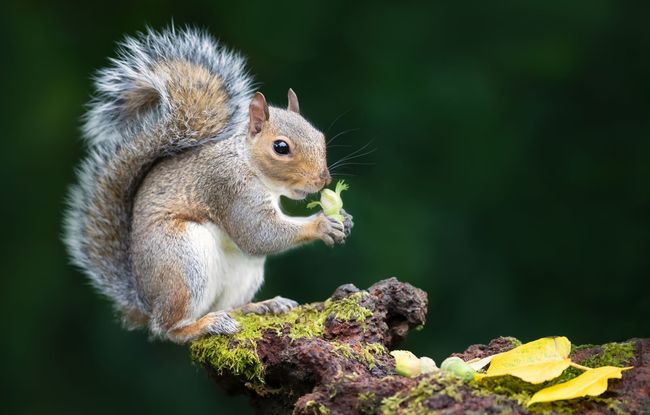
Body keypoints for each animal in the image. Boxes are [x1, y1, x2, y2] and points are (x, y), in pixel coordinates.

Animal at [63, 27, 353, 343]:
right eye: (281, 147)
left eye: (319, 136)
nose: (323, 179)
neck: (247, 163)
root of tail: (146, 301)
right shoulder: (229, 189)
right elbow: (258, 234)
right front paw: (322, 224)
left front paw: (344, 218)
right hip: (183, 261)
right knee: (170, 328)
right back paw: (204, 324)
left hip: (244, 272)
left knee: (228, 306)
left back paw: (260, 306)